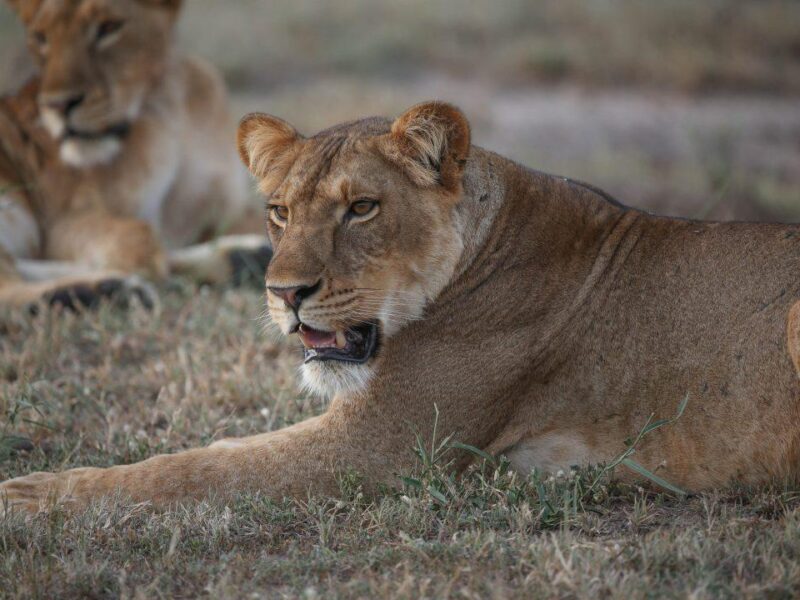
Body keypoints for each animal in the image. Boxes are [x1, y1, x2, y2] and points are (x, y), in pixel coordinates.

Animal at [0, 0, 270, 310]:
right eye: (40, 38)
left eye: (109, 27)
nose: (59, 105)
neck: (167, 109)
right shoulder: (58, 225)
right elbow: (142, 241)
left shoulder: (230, 205)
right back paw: (113, 291)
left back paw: (246, 257)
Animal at [1, 99, 800, 516]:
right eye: (278, 211)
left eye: (361, 208)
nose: (284, 294)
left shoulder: (384, 448)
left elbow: (192, 470)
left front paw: (29, 494)